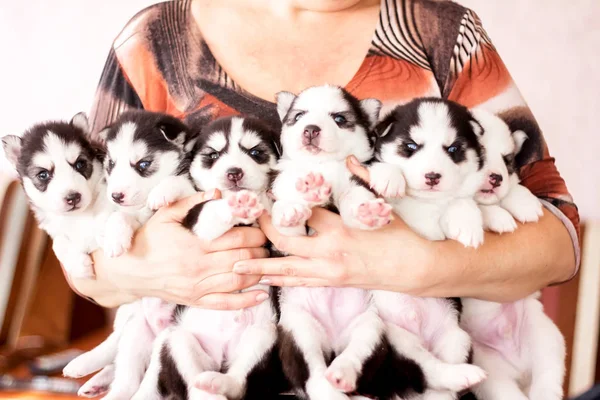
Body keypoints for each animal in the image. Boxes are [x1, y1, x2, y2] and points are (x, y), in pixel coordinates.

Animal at [2, 114, 109, 280]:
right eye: (43, 174)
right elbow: (57, 243)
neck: (78, 216)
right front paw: (77, 264)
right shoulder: (55, 229)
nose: (73, 197)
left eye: (80, 164)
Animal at [132, 115, 282, 400]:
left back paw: (221, 383)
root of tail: (221, 356)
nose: (234, 172)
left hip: (263, 334)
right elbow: (206, 206)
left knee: (238, 382)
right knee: (193, 384)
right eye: (212, 155)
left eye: (255, 152)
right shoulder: (196, 219)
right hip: (178, 341)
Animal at [370, 98, 492, 400]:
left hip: (456, 338)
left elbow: (462, 201)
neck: (424, 202)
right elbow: (379, 169)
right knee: (425, 369)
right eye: (411, 146)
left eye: (453, 149)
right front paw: (389, 177)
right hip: (394, 340)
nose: (433, 176)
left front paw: (469, 226)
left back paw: (464, 375)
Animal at [462, 108, 564, 400]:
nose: (496, 177)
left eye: (507, 160)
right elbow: (481, 208)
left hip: (545, 337)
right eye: (480, 153)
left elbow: (516, 187)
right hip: (489, 371)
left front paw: (526, 204)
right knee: (506, 390)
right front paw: (499, 217)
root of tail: (518, 366)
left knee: (548, 375)